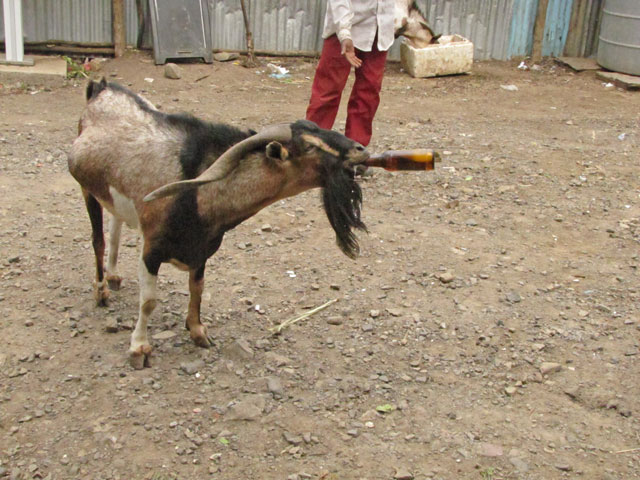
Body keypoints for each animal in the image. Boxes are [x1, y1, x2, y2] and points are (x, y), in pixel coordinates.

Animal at [67, 80, 368, 370]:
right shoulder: (151, 250)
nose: (360, 150)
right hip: (86, 189)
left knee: (115, 226)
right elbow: (149, 301)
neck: (199, 193)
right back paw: (102, 291)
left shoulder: (202, 250)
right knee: (98, 240)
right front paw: (140, 349)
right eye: (309, 146)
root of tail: (99, 87)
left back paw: (114, 276)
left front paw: (198, 332)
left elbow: (197, 288)